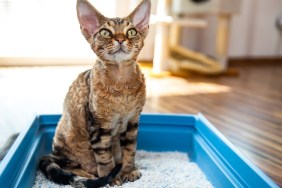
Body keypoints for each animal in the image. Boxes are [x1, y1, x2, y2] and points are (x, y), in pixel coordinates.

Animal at [39, 0, 152, 187]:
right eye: (105, 32)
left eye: (132, 31)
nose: (120, 39)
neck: (122, 86)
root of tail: (52, 153)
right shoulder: (98, 126)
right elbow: (104, 157)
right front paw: (110, 178)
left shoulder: (132, 122)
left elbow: (130, 150)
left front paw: (128, 171)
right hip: (66, 145)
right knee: (68, 166)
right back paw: (89, 176)